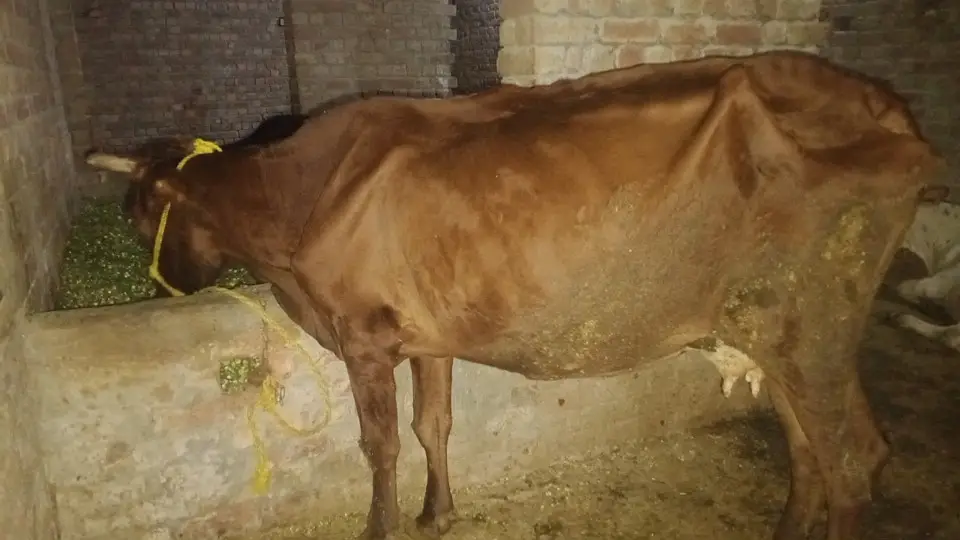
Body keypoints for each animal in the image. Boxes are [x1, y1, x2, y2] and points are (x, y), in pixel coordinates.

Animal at [84, 51, 943, 540]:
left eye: (137, 214)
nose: (158, 285)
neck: (297, 199)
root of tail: (890, 109)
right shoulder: (425, 336)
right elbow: (434, 425)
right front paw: (439, 514)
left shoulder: (363, 334)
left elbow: (380, 446)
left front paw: (382, 527)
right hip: (775, 326)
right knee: (815, 448)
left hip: (811, 325)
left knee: (851, 458)